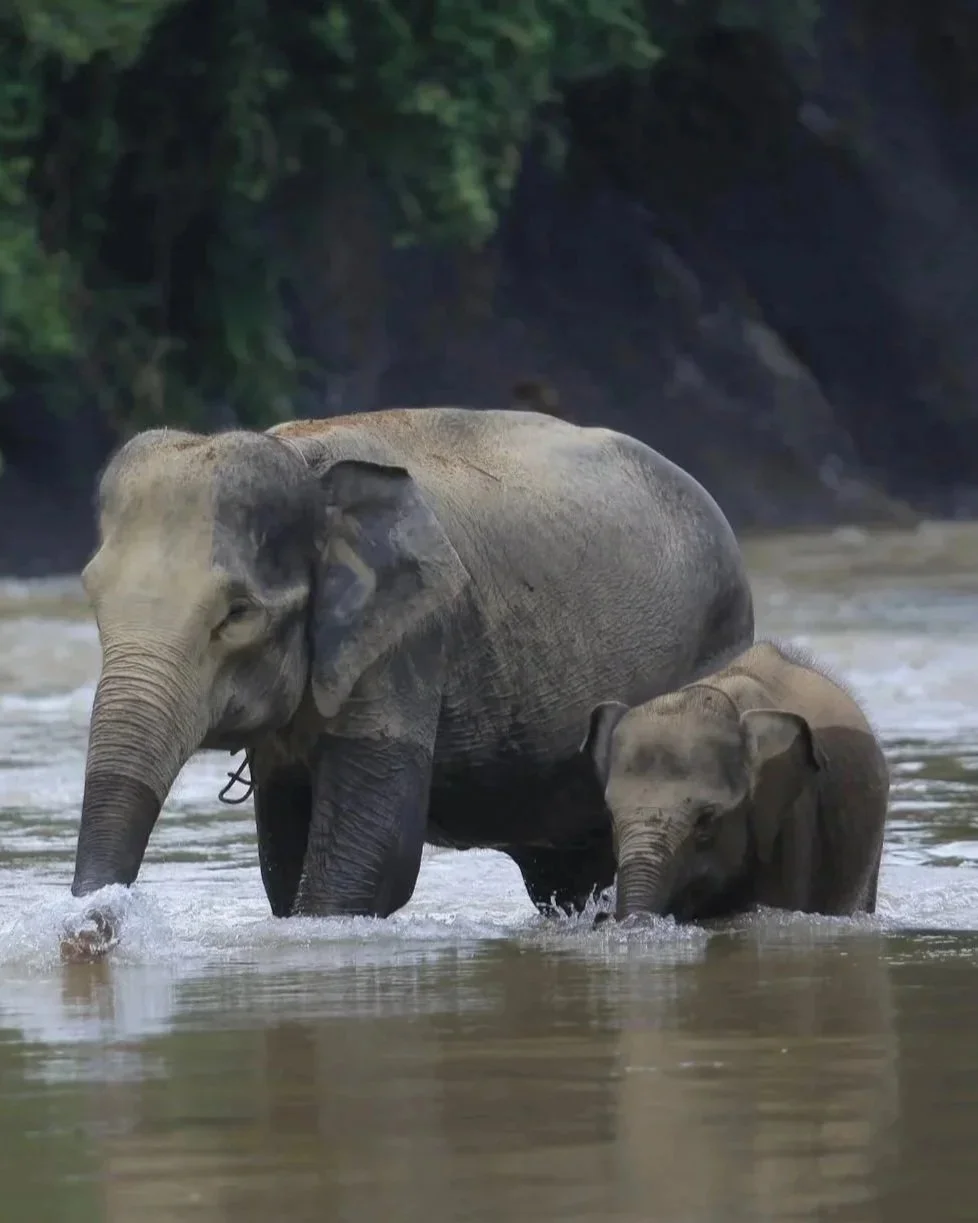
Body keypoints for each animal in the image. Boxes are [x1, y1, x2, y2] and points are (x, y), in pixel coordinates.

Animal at [70, 403, 754, 921]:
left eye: (236, 614)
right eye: (91, 596)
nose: (92, 928)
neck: (302, 458)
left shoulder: (412, 634)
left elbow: (374, 855)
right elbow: (284, 854)